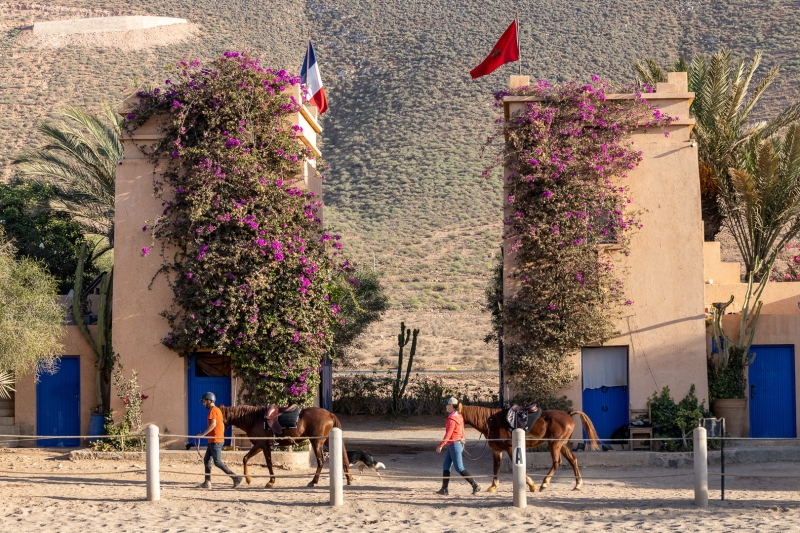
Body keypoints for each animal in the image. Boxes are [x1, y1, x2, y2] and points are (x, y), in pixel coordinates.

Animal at [222, 406, 354, 488]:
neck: (254, 419)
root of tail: (329, 414)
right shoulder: (266, 447)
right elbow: (268, 463)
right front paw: (271, 481)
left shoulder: (260, 445)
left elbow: (245, 458)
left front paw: (249, 479)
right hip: (327, 441)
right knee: (343, 458)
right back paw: (348, 478)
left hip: (316, 443)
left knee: (321, 461)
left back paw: (313, 482)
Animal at [456, 406, 600, 492]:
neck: (492, 421)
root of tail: (568, 415)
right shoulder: (496, 450)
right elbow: (496, 467)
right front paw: (493, 486)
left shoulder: (511, 449)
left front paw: (532, 485)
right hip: (562, 445)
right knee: (573, 461)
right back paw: (577, 484)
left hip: (555, 444)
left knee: (557, 462)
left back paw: (544, 484)